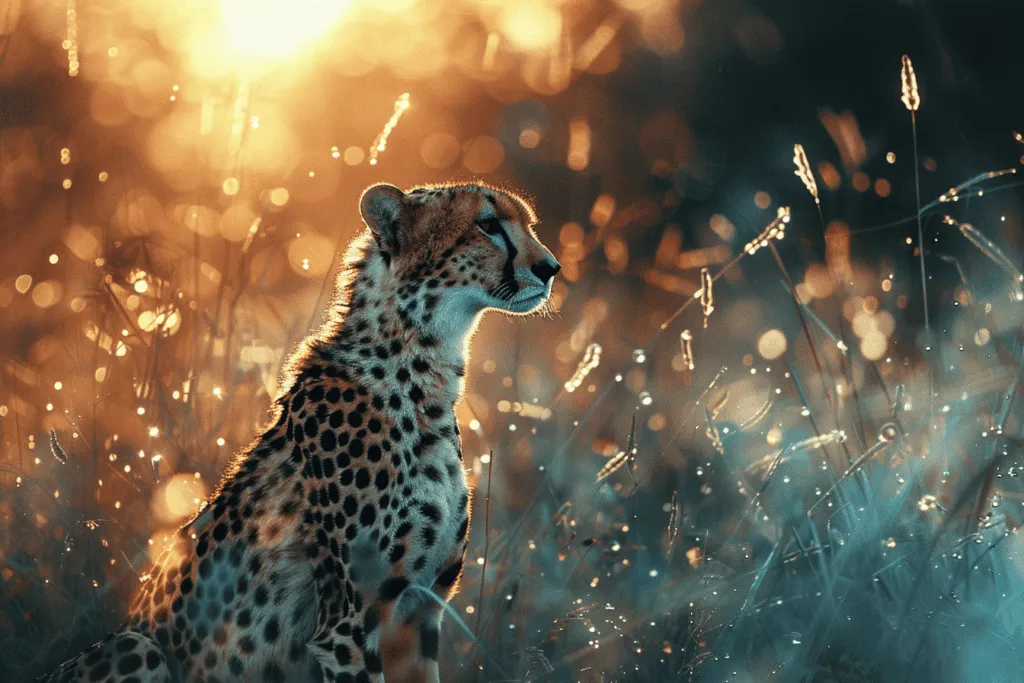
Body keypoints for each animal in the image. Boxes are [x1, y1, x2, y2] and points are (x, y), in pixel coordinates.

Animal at [38, 181, 560, 683]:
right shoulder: (348, 628)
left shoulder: (417, 618)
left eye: (529, 224)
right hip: (137, 643)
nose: (551, 267)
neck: (423, 371)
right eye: (487, 224)